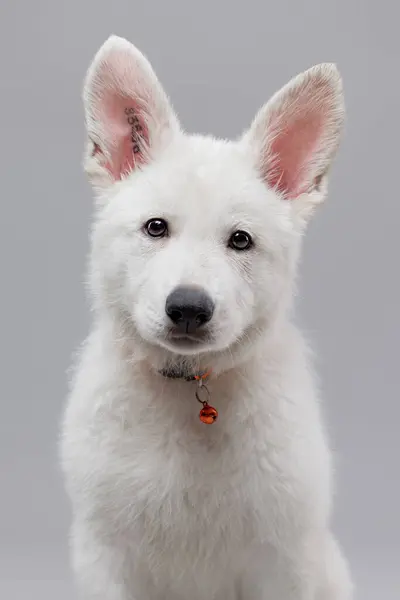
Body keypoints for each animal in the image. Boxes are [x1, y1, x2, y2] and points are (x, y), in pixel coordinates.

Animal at [59, 34, 354, 600]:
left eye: (240, 240)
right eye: (155, 228)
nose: (189, 309)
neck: (189, 388)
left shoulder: (282, 559)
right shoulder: (104, 552)